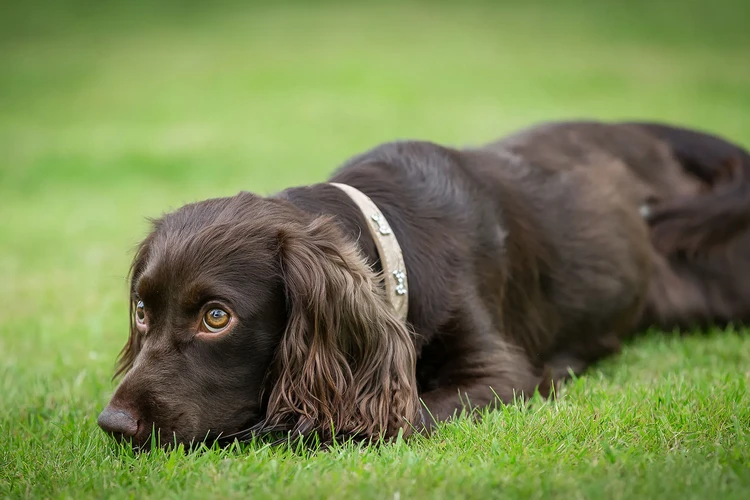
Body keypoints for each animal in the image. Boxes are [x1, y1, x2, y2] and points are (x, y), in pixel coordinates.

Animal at [98, 120, 750, 450]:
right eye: (141, 311)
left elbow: (391, 418)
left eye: (216, 316)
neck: (395, 241)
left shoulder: (501, 374)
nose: (113, 426)